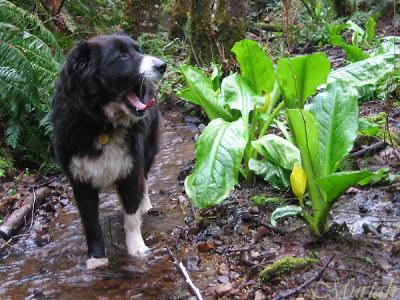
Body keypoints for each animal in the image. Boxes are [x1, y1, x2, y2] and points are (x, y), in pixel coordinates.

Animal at [52, 34, 167, 268]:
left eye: (138, 50)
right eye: (122, 56)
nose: (162, 66)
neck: (102, 125)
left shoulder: (130, 168)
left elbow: (130, 215)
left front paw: (137, 248)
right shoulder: (80, 182)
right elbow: (91, 223)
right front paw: (96, 258)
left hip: (149, 149)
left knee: (145, 178)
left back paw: (145, 205)